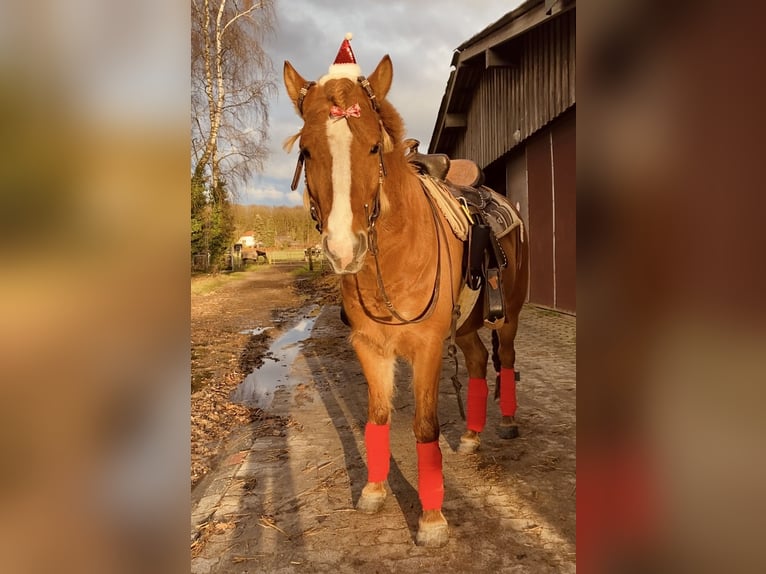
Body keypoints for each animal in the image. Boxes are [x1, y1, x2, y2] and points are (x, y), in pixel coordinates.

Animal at [284, 45, 528, 547]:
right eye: (306, 150)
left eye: (374, 147)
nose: (344, 248)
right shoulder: (370, 347)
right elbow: (377, 417)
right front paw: (375, 491)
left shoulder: (428, 347)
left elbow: (424, 426)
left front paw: (431, 518)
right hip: (466, 325)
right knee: (478, 362)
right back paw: (472, 435)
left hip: (508, 315)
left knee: (506, 359)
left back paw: (507, 423)